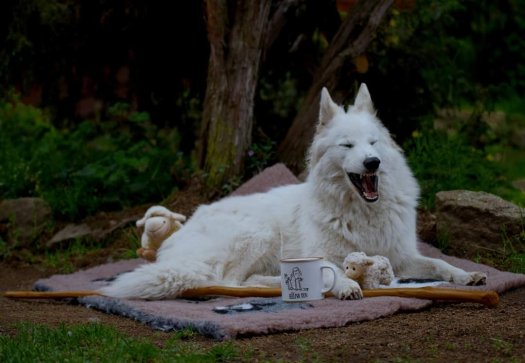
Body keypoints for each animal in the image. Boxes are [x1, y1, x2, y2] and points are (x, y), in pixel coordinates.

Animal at [100, 85, 486, 302]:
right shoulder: (325, 254)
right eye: (348, 145)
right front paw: (345, 285)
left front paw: (467, 276)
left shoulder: (402, 256)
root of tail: (173, 240)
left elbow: (439, 264)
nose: (373, 163)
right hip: (257, 233)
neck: (362, 212)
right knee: (227, 282)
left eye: (373, 143)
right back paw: (269, 287)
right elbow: (336, 270)